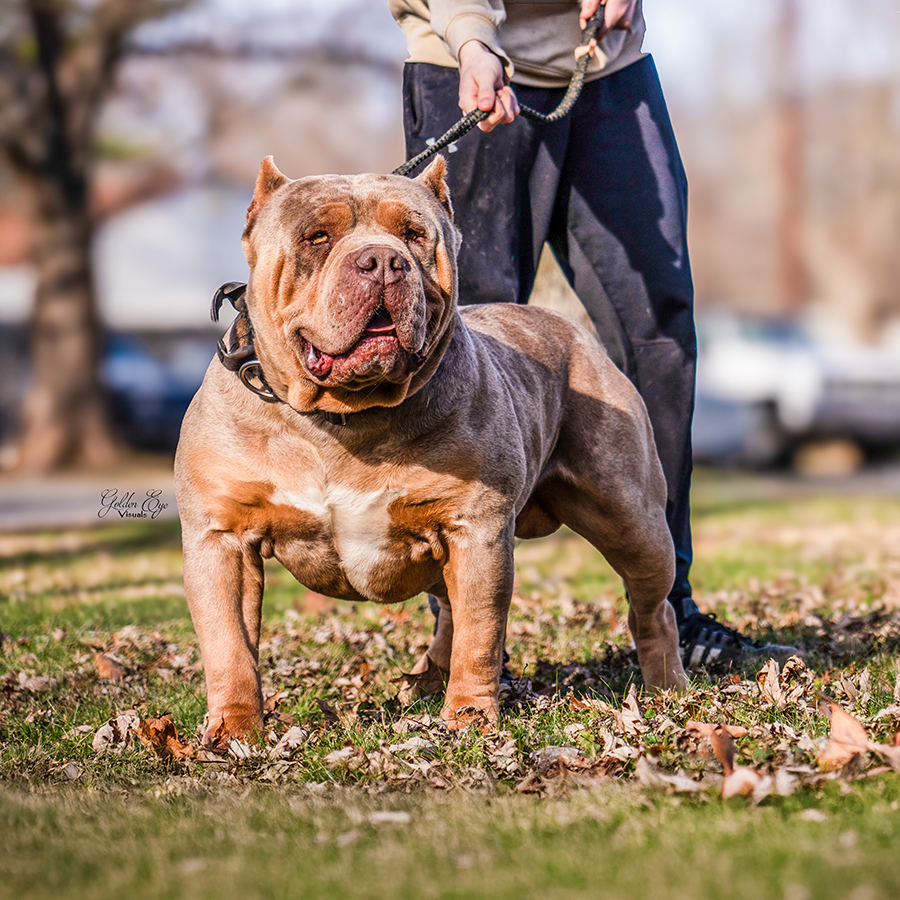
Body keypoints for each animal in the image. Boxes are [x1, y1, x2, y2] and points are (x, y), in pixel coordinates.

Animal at [176, 156, 688, 744]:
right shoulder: (222, 541)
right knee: (448, 610)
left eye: (414, 235)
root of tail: (577, 332)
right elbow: (230, 646)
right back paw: (425, 681)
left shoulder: (476, 532)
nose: (382, 261)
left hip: (632, 519)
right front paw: (235, 730)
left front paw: (469, 718)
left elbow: (480, 635)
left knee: (651, 607)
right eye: (317, 237)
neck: (342, 419)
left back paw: (668, 686)